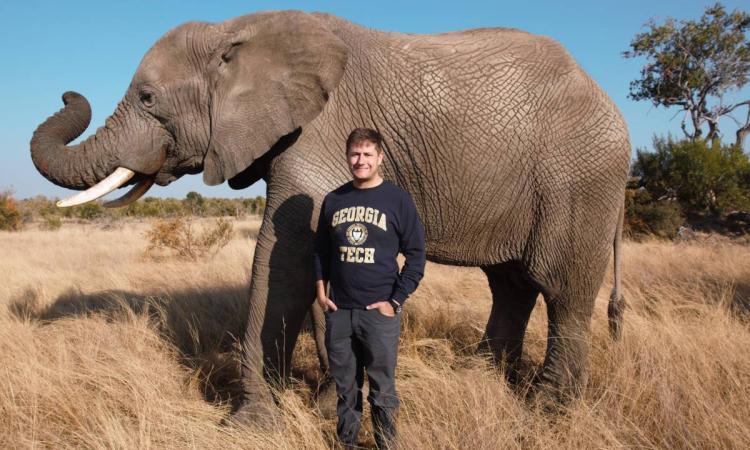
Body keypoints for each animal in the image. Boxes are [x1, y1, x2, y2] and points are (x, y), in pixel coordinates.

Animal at [29, 9, 632, 426]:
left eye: (149, 98)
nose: (65, 90)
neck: (235, 29)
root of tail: (609, 102)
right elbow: (319, 268)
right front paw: (327, 405)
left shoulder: (317, 132)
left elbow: (283, 258)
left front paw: (249, 425)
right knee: (510, 284)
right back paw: (479, 377)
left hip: (580, 177)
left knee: (561, 290)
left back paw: (548, 410)